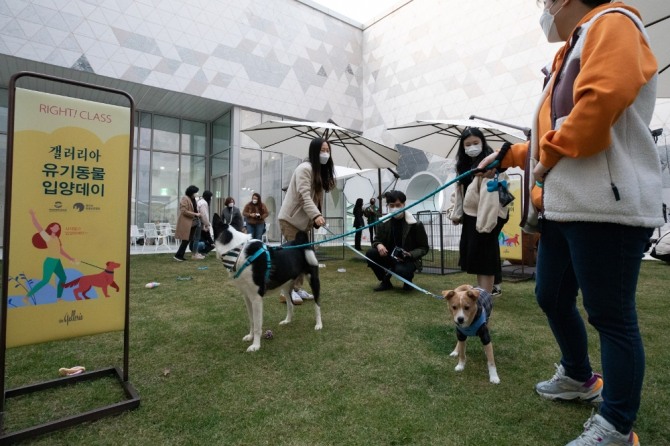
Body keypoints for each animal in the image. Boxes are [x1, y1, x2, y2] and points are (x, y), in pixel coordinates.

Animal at [213, 213, 322, 352]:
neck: (238, 252)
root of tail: (299, 242)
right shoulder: (247, 297)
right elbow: (252, 320)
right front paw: (250, 336)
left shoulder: (256, 298)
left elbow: (257, 324)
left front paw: (255, 345)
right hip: (286, 286)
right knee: (290, 304)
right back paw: (287, 321)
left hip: (314, 280)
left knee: (317, 304)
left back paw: (319, 324)